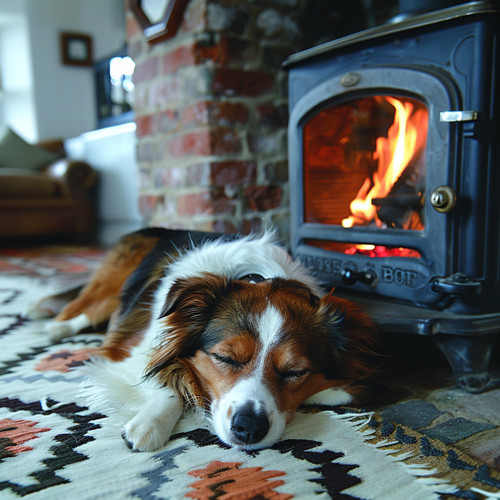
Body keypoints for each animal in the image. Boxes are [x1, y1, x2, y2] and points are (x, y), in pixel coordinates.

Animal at [30, 230, 376, 454]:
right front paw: (150, 424)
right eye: (225, 358)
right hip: (111, 284)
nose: (248, 428)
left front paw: (332, 392)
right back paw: (53, 327)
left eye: (295, 372)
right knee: (83, 307)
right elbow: (168, 378)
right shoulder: (133, 353)